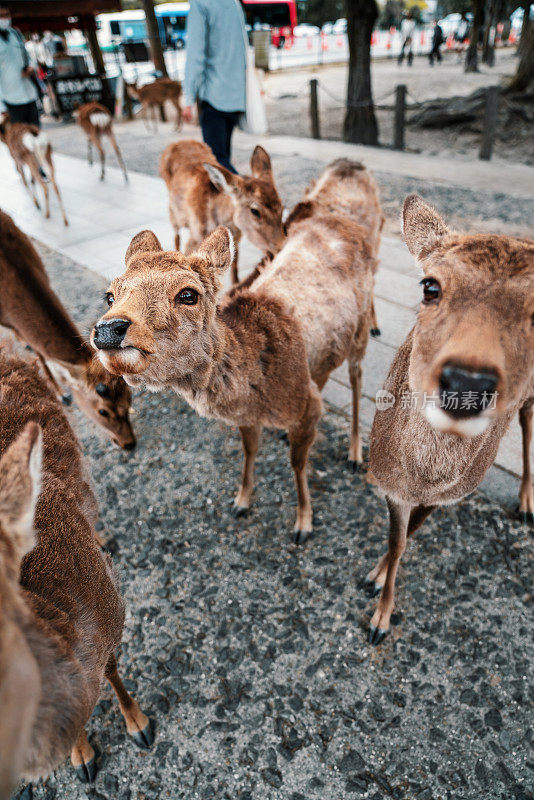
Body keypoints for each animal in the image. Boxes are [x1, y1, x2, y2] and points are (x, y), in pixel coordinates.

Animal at [90, 159, 378, 540]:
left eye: (188, 294)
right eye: (110, 295)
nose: (109, 328)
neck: (255, 387)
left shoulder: (305, 407)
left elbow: (298, 463)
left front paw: (303, 522)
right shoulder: (249, 415)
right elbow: (249, 449)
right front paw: (241, 501)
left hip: (360, 328)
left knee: (358, 376)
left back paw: (356, 452)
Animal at [159, 141, 286, 284]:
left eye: (282, 207)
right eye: (255, 211)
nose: (281, 246)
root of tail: (177, 143)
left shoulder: (236, 239)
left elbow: (235, 262)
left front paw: (236, 282)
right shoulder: (195, 236)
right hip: (174, 212)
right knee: (176, 234)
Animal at [366, 197, 532, 648]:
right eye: (430, 287)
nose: (467, 382)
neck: (423, 479)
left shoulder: (452, 495)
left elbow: (410, 537)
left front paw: (379, 610)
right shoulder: (390, 486)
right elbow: (399, 541)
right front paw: (376, 599)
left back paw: (526, 503)